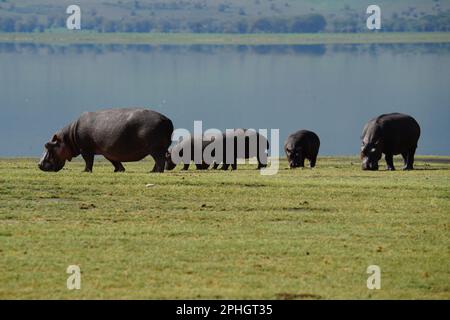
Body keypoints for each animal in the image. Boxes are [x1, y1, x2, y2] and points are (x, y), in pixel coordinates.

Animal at [38, 107, 174, 172]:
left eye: (47, 145)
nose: (39, 164)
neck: (68, 138)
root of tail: (167, 119)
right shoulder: (108, 151)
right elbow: (114, 161)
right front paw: (118, 170)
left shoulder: (85, 149)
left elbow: (88, 161)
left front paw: (85, 171)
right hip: (157, 149)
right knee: (158, 160)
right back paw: (151, 171)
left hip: (155, 149)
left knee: (160, 161)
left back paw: (156, 172)